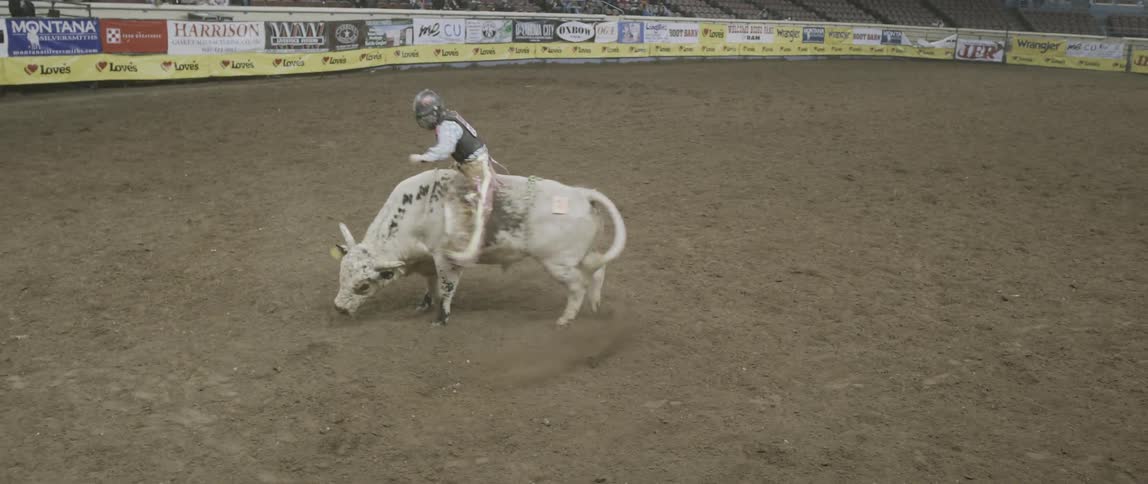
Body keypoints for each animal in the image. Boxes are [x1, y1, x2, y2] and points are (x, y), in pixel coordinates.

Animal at [331, 168, 626, 327]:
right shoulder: (426, 259)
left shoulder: (446, 259)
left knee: (578, 285)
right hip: (582, 254)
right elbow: (431, 283)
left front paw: (440, 318)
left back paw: (566, 319)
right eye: (342, 276)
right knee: (597, 271)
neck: (418, 212)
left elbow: (446, 288)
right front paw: (424, 303)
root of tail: (582, 194)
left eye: (363, 285)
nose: (339, 308)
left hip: (558, 263)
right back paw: (595, 306)